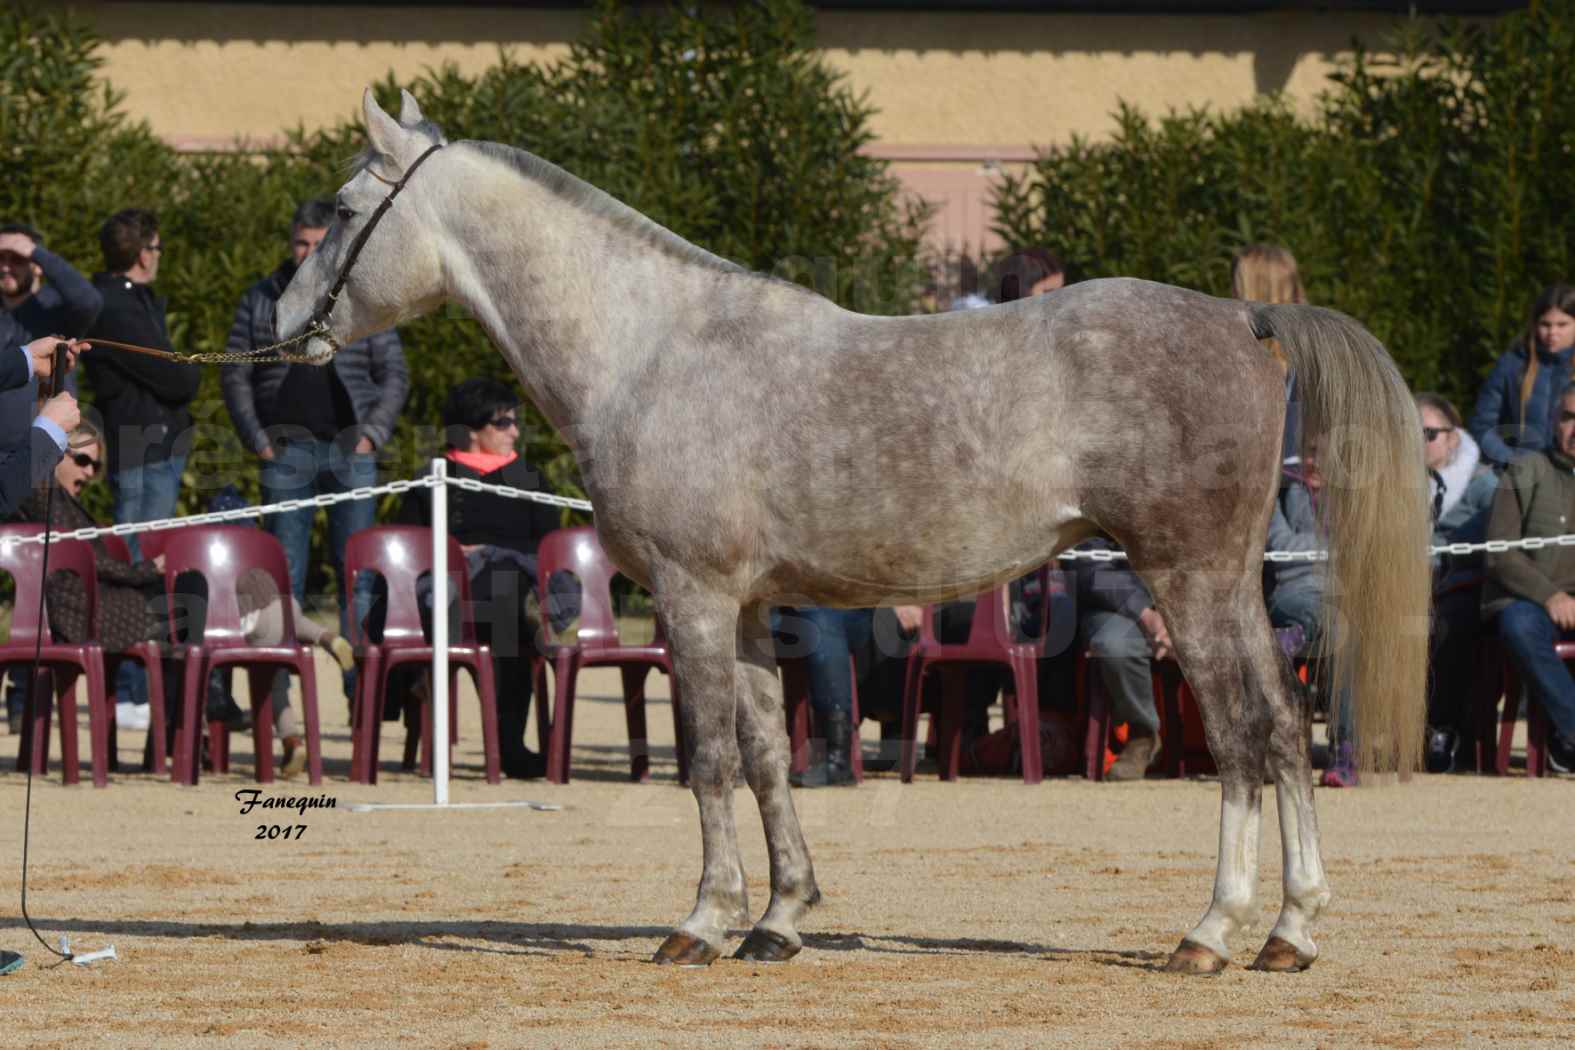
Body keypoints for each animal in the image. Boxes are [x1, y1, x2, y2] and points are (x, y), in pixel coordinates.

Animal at [277, 90, 1436, 976]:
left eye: (346, 208)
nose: (287, 327)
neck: (653, 349)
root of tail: (1243, 317)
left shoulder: (693, 598)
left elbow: (706, 759)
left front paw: (700, 923)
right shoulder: (746, 607)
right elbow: (765, 757)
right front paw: (779, 920)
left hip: (1184, 577)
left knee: (1241, 737)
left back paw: (1210, 935)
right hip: (1229, 581)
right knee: (1282, 726)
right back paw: (1288, 931)